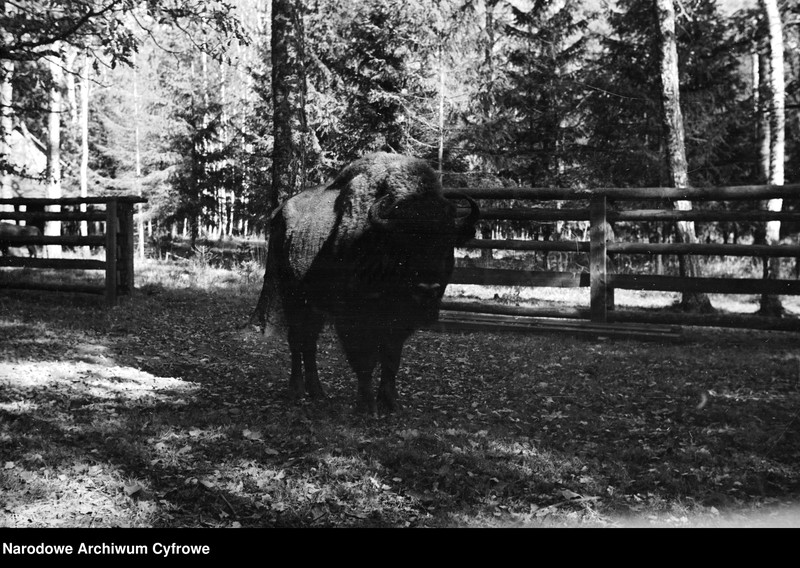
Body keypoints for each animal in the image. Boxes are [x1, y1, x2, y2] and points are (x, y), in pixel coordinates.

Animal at [256, 153, 478, 414]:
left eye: (447, 244)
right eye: (403, 245)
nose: (428, 289)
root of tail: (278, 213)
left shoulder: (398, 324)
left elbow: (391, 359)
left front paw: (391, 403)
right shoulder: (353, 321)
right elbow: (365, 360)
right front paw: (367, 405)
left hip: (314, 306)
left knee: (309, 342)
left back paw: (318, 393)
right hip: (293, 298)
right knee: (297, 340)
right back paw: (297, 390)